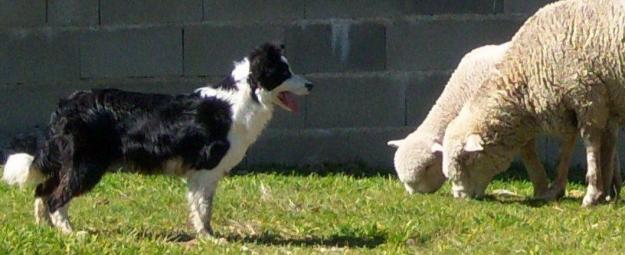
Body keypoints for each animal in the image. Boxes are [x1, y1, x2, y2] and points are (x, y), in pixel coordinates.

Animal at [0, 42, 312, 236]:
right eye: (285, 72)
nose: (311, 84)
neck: (245, 96)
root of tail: (67, 103)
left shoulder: (205, 175)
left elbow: (204, 208)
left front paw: (208, 235)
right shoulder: (205, 169)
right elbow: (202, 209)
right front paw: (209, 238)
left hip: (69, 163)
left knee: (42, 191)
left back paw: (45, 228)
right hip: (85, 166)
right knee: (56, 198)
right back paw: (71, 233)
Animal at [438, 0, 624, 206]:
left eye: (466, 160)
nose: (459, 198)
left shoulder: (587, 95)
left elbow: (591, 143)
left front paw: (592, 193)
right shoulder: (576, 103)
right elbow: (571, 146)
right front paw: (560, 189)